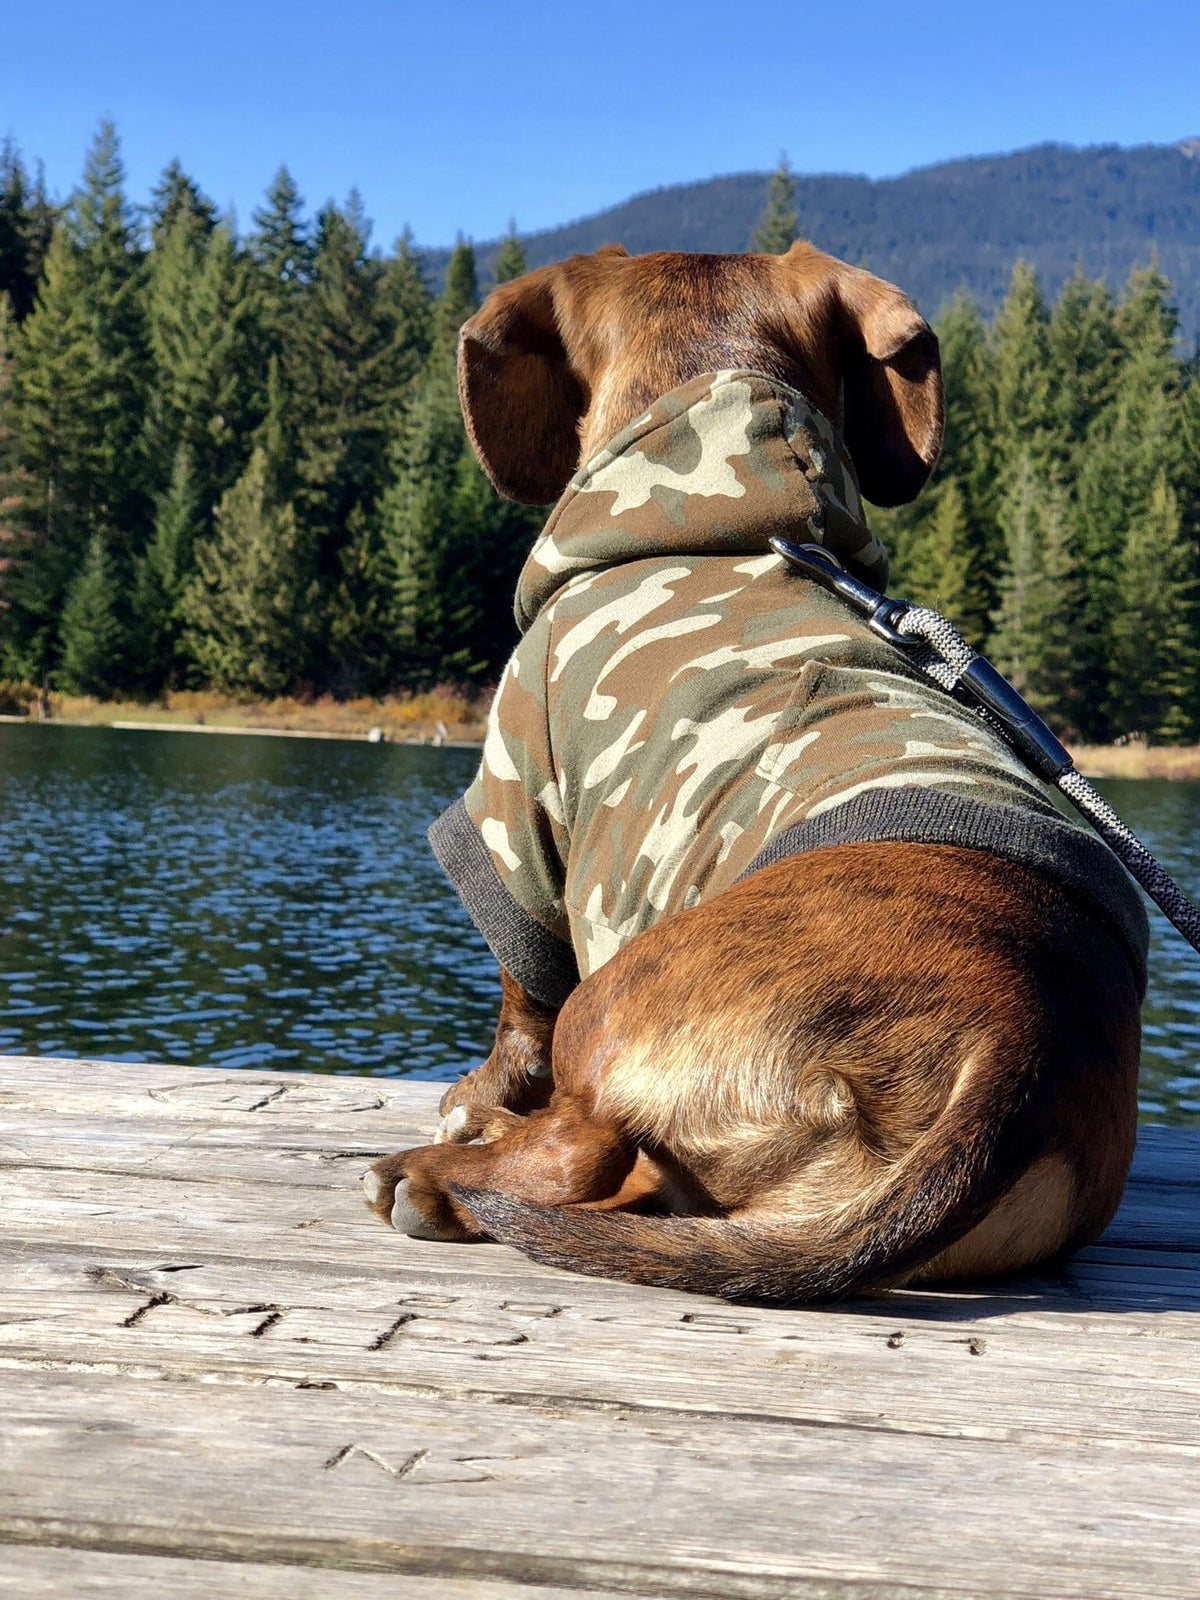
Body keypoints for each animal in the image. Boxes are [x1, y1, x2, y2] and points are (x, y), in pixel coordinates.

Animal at [361, 246, 1152, 1299]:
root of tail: (1019, 1042)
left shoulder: (521, 802)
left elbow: (519, 995)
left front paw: (477, 1096)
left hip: (607, 1004)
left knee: (579, 1149)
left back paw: (437, 1175)